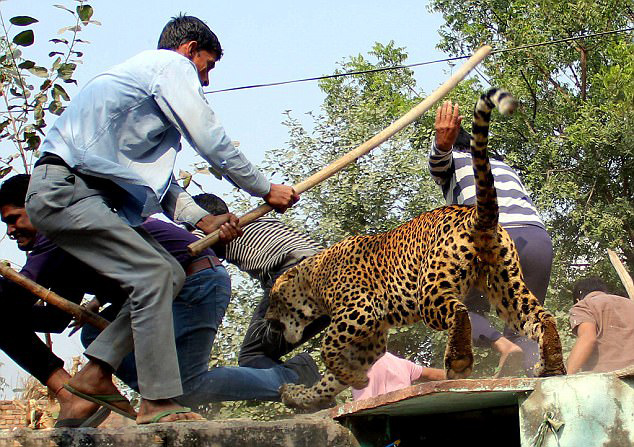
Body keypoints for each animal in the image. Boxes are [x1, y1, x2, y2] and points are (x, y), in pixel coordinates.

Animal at [264, 87, 564, 412]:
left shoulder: (359, 311)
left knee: (460, 312)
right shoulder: (368, 342)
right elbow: (328, 380)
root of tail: (474, 215)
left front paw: (353, 380)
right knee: (540, 317)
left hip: (431, 291)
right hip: (507, 285)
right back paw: (551, 365)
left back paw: (459, 362)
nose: (266, 320)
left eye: (273, 299)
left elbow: (327, 347)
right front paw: (299, 394)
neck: (314, 281)